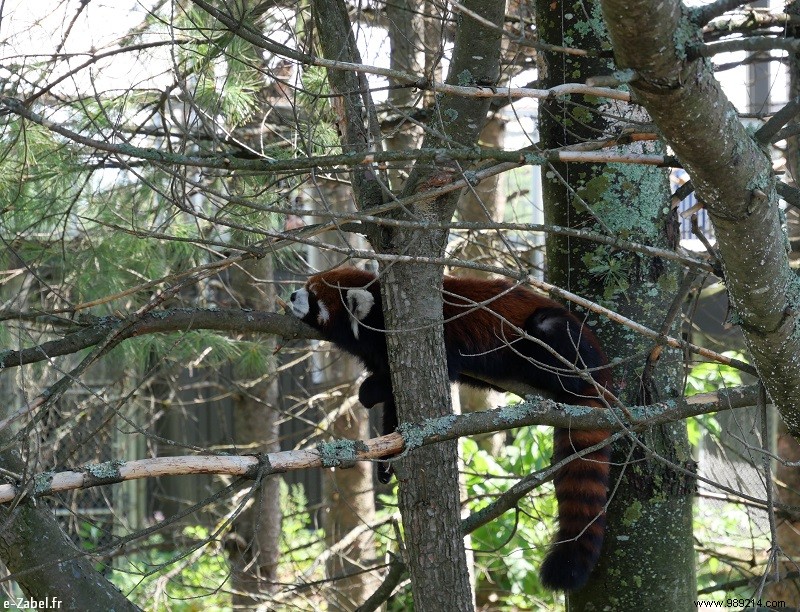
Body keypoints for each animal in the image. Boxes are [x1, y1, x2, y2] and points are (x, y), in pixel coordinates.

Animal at [290, 266, 608, 592]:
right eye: (306, 286)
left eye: (313, 296)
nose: (291, 295)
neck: (379, 313)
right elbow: (396, 407)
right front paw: (387, 460)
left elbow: (396, 382)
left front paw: (368, 391)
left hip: (554, 335)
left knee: (548, 337)